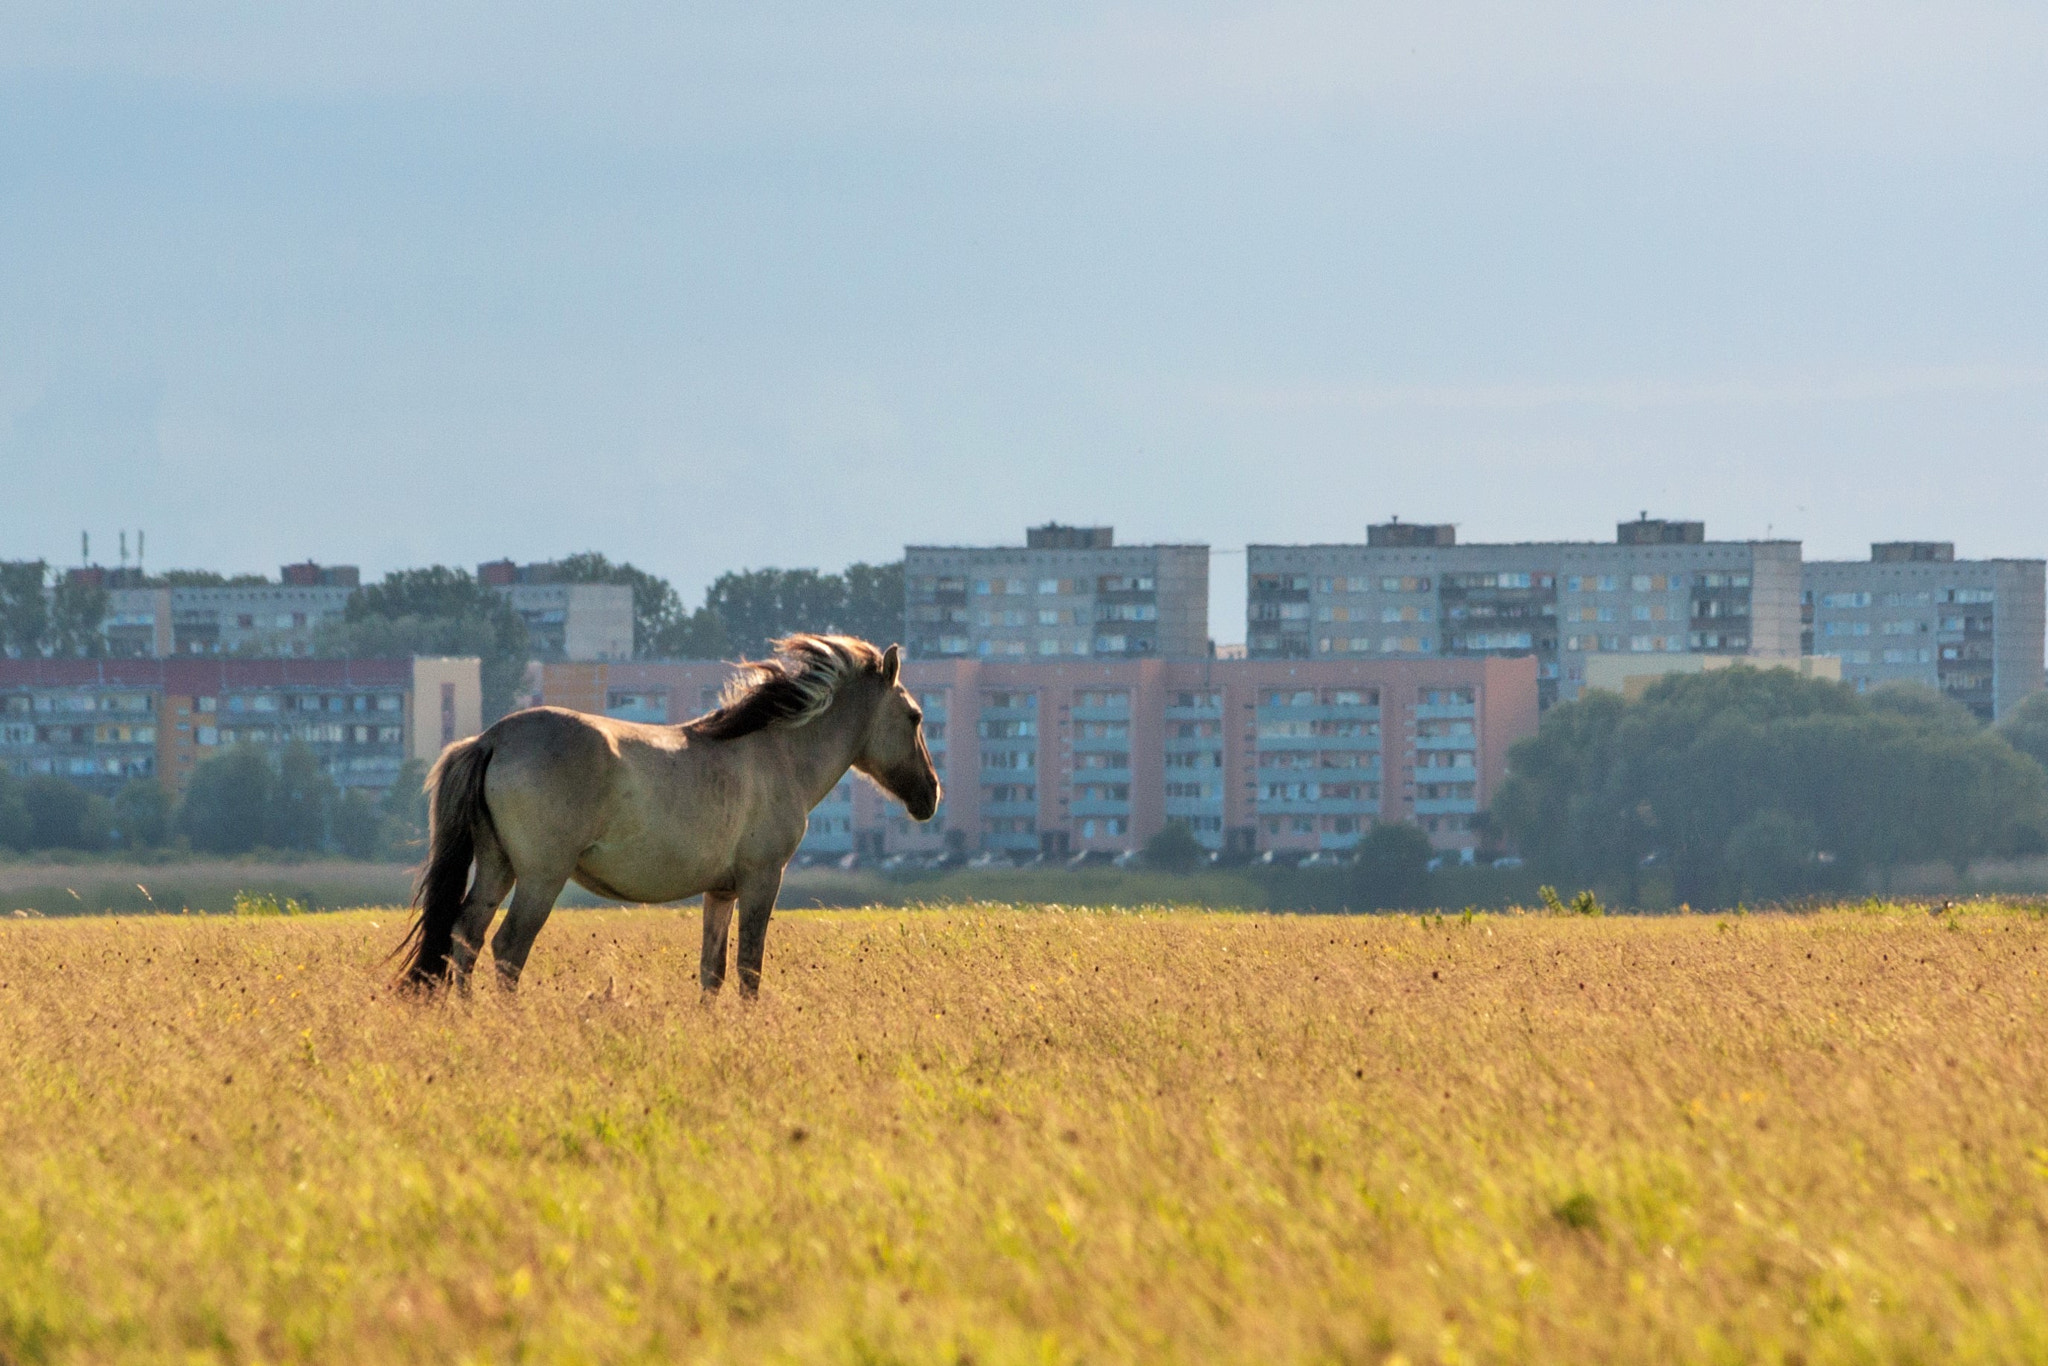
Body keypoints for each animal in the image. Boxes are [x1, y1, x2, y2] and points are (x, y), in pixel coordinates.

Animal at [395, 634, 940, 995]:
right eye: (915, 716)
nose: (931, 795)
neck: (777, 753)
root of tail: (492, 738)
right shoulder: (762, 879)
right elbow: (749, 967)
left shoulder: (721, 891)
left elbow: (711, 971)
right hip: (540, 878)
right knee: (507, 949)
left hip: (497, 866)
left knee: (465, 937)